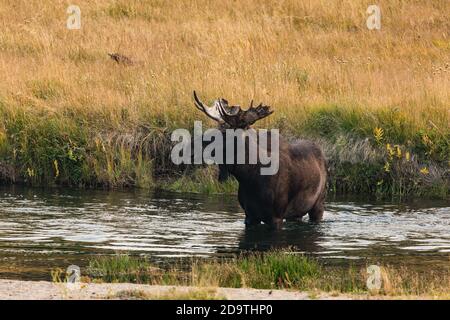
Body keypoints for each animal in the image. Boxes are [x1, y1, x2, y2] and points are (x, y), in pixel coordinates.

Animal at [192, 91, 326, 229]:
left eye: (224, 133)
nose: (192, 145)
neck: (249, 177)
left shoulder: (277, 216)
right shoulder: (249, 216)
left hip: (319, 203)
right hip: (296, 212)